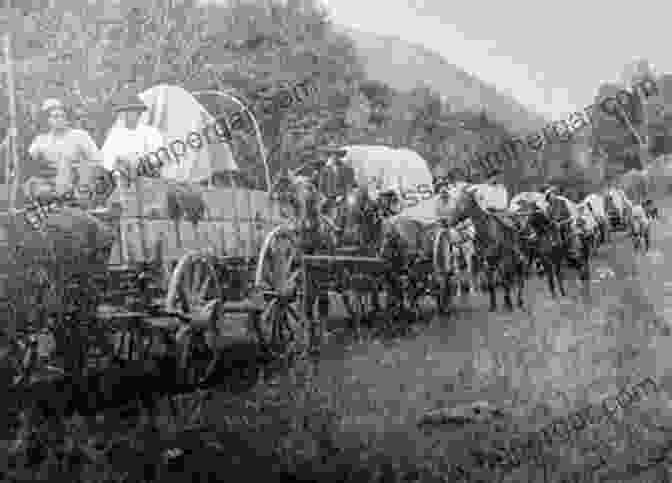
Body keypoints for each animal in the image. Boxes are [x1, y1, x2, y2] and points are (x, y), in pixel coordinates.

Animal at [438, 183, 528, 312]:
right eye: (455, 201)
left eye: (462, 202)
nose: (446, 221)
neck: (487, 232)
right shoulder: (486, 261)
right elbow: (491, 283)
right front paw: (493, 305)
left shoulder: (501, 259)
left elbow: (505, 281)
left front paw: (508, 304)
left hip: (517, 257)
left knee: (519, 278)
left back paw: (519, 302)